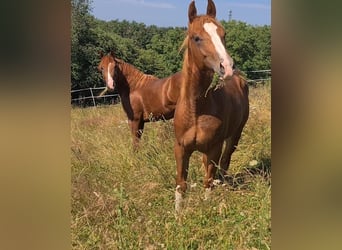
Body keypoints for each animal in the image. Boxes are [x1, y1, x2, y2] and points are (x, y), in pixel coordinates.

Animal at [175, 0, 250, 212]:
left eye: (224, 34)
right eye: (196, 38)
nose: (227, 67)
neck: (196, 110)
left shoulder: (214, 148)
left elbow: (208, 181)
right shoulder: (180, 148)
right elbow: (181, 184)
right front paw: (177, 215)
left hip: (235, 134)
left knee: (224, 162)